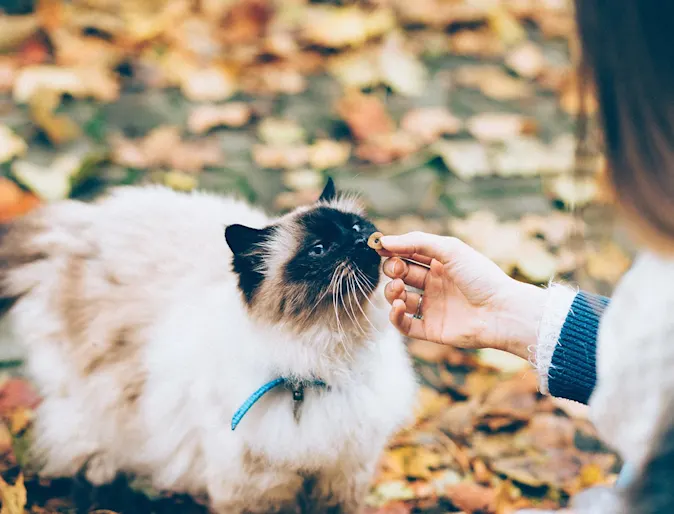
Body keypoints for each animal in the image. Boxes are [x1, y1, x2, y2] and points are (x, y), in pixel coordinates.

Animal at [0, 178, 418, 510]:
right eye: (319, 250)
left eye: (356, 226)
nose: (363, 240)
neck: (324, 363)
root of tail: (80, 223)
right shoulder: (258, 490)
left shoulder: (342, 477)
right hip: (97, 400)